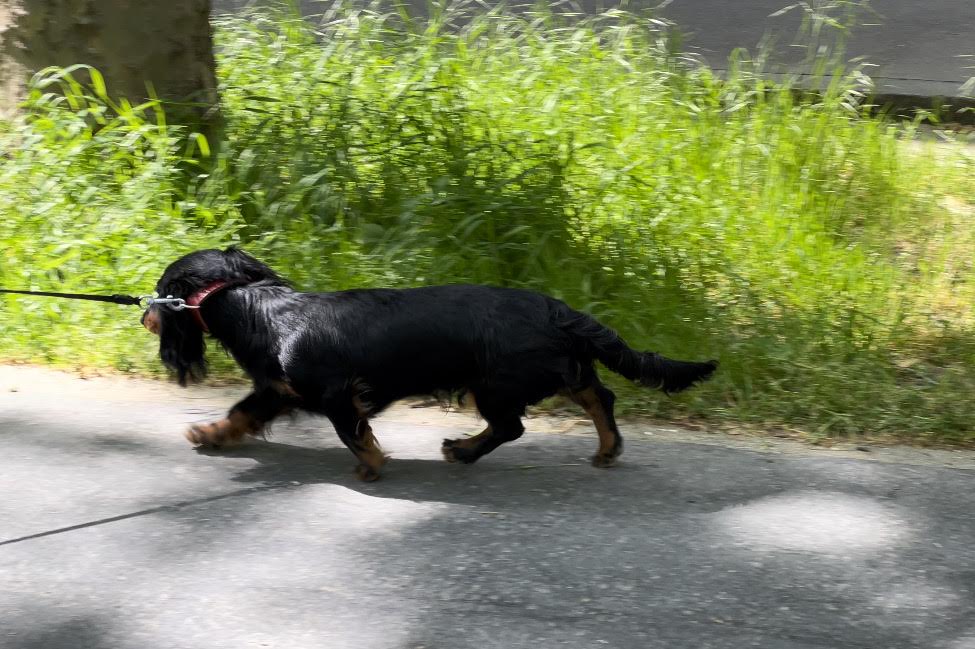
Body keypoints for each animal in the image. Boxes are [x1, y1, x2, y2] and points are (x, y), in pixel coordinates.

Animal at [143, 248, 716, 480]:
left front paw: (372, 466)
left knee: (510, 427)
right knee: (600, 397)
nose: (145, 313)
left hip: (495, 383)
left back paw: (462, 450)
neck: (263, 309)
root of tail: (558, 310)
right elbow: (240, 413)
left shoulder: (334, 393)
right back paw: (607, 448)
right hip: (557, 370)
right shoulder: (277, 390)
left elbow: (354, 434)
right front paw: (210, 434)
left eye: (159, 292)